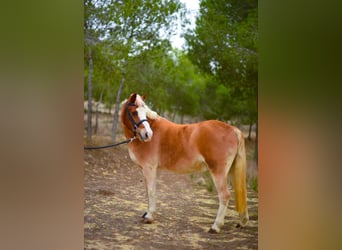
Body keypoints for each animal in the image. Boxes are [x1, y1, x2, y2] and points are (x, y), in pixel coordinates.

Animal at [120, 93, 248, 233]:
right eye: (134, 112)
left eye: (145, 112)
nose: (148, 134)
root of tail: (232, 129)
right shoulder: (146, 169)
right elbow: (148, 191)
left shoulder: (149, 168)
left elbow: (151, 191)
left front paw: (149, 217)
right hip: (231, 171)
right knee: (240, 191)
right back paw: (242, 222)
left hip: (218, 172)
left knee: (225, 195)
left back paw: (215, 226)